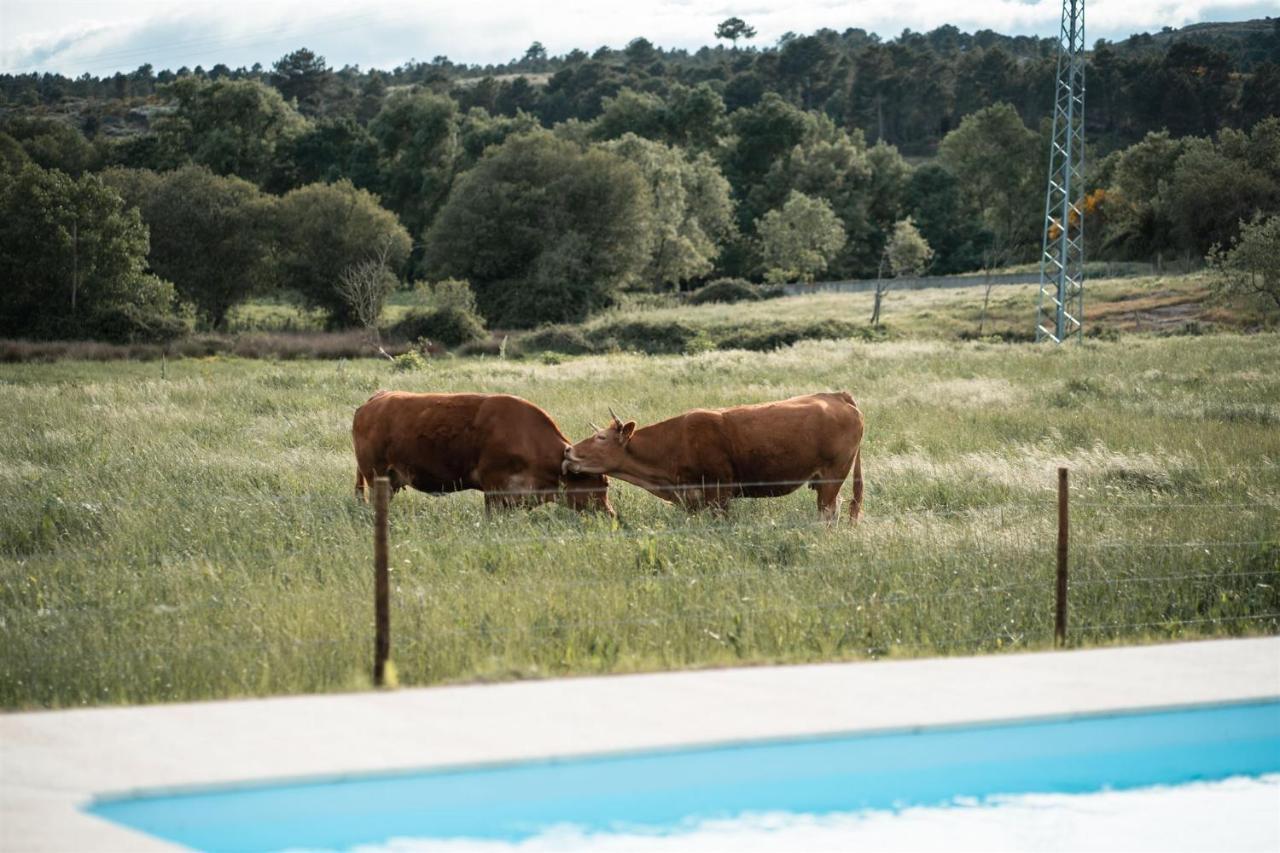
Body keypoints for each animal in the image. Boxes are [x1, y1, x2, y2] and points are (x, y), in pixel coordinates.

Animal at [565, 391, 865, 517]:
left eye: (601, 437)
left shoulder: (719, 493)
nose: (568, 451)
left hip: (833, 476)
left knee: (828, 511)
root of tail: (837, 396)